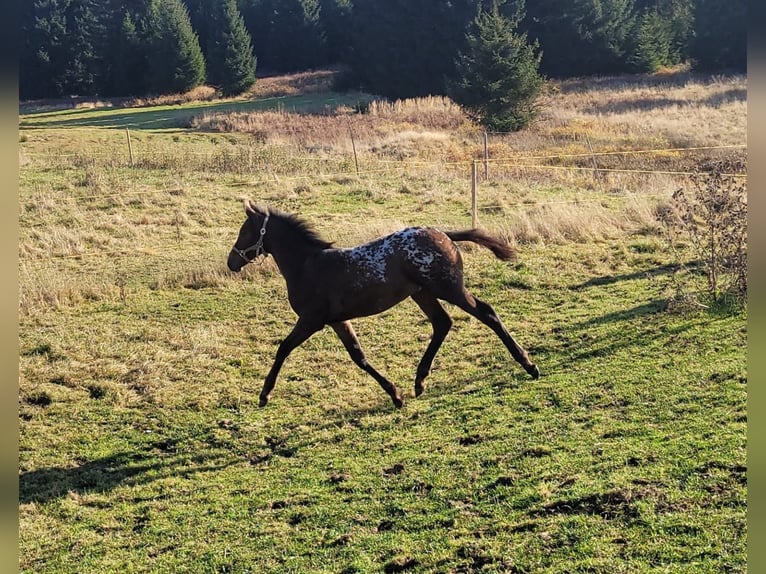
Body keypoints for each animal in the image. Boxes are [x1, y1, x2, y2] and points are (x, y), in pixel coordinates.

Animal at [228, 202, 540, 410]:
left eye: (244, 232)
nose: (231, 262)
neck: (306, 266)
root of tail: (443, 234)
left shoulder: (311, 320)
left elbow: (283, 348)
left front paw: (264, 395)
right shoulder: (337, 320)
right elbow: (358, 356)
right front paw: (396, 395)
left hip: (449, 288)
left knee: (486, 312)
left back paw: (529, 364)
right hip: (422, 294)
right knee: (442, 323)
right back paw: (419, 382)